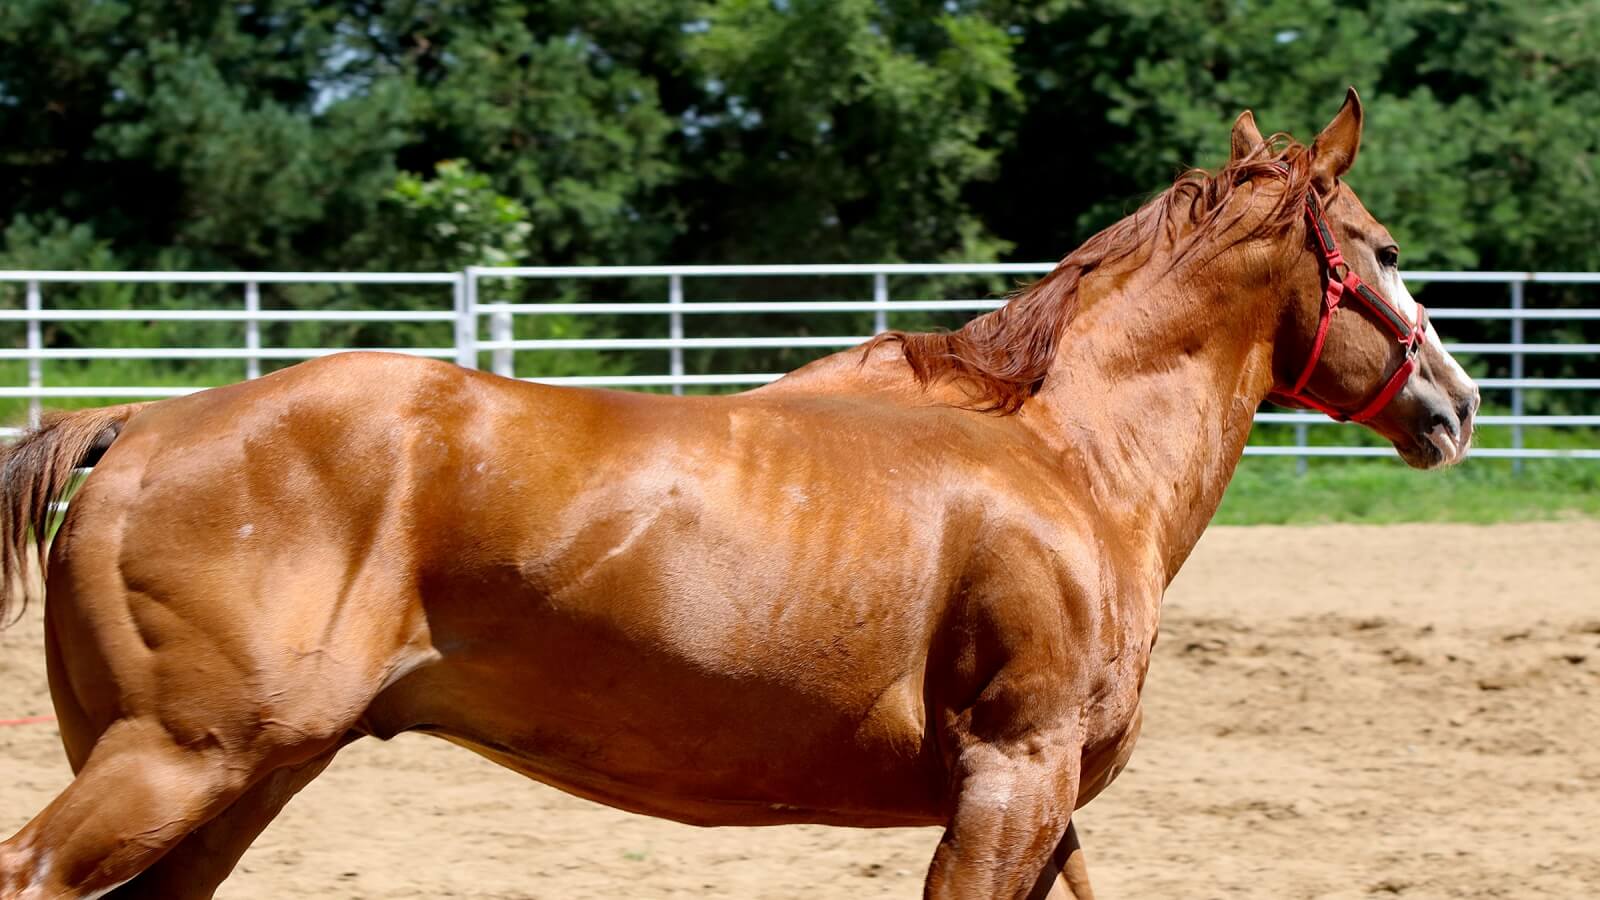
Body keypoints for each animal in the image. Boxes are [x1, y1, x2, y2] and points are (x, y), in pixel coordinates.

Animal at [0, 92, 1472, 896]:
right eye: (1387, 248)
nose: (1453, 405)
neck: (1066, 460)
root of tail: (140, 426)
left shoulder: (1047, 806)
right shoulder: (1011, 778)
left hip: (244, 778)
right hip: (177, 762)